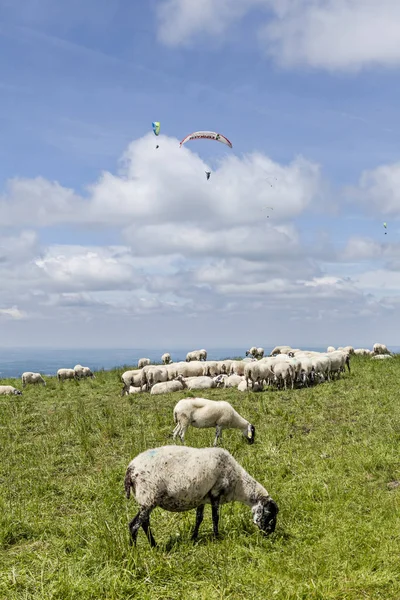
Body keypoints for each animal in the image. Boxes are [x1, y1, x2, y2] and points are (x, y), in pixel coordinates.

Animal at [125, 442, 278, 548]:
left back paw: (154, 546)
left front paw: (194, 537)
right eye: (269, 513)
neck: (239, 484)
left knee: (144, 523)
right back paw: (134, 551)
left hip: (146, 499)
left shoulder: (202, 497)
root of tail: (130, 469)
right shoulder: (216, 492)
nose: (269, 533)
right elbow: (215, 517)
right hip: (148, 497)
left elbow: (199, 518)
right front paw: (217, 537)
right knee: (134, 525)